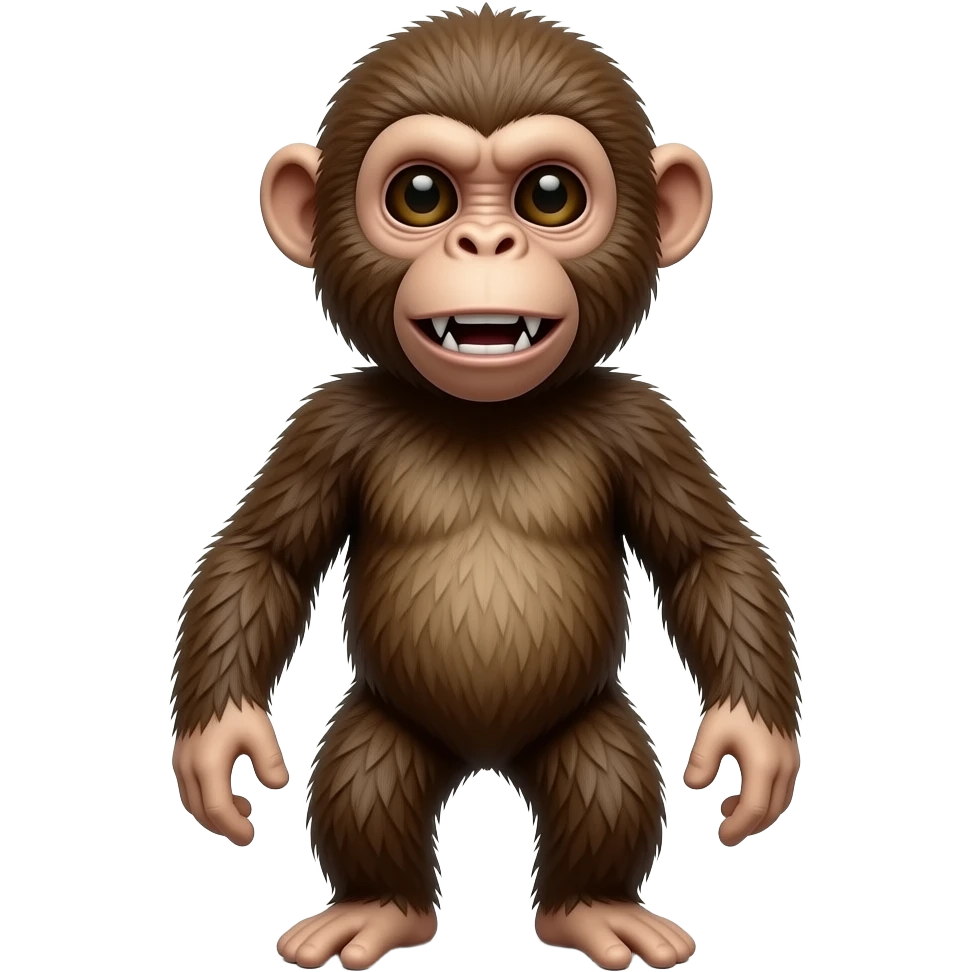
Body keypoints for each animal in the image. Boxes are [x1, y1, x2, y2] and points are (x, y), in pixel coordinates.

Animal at [170, 7, 801, 971]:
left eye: (550, 196)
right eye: (421, 195)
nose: (486, 243)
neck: (486, 415)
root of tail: (486, 757)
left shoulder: (641, 421)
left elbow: (709, 556)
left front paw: (753, 745)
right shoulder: (330, 421)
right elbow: (262, 557)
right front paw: (218, 745)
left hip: (582, 727)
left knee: (607, 776)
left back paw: (593, 909)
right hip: (390, 727)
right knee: (366, 776)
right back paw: (378, 908)